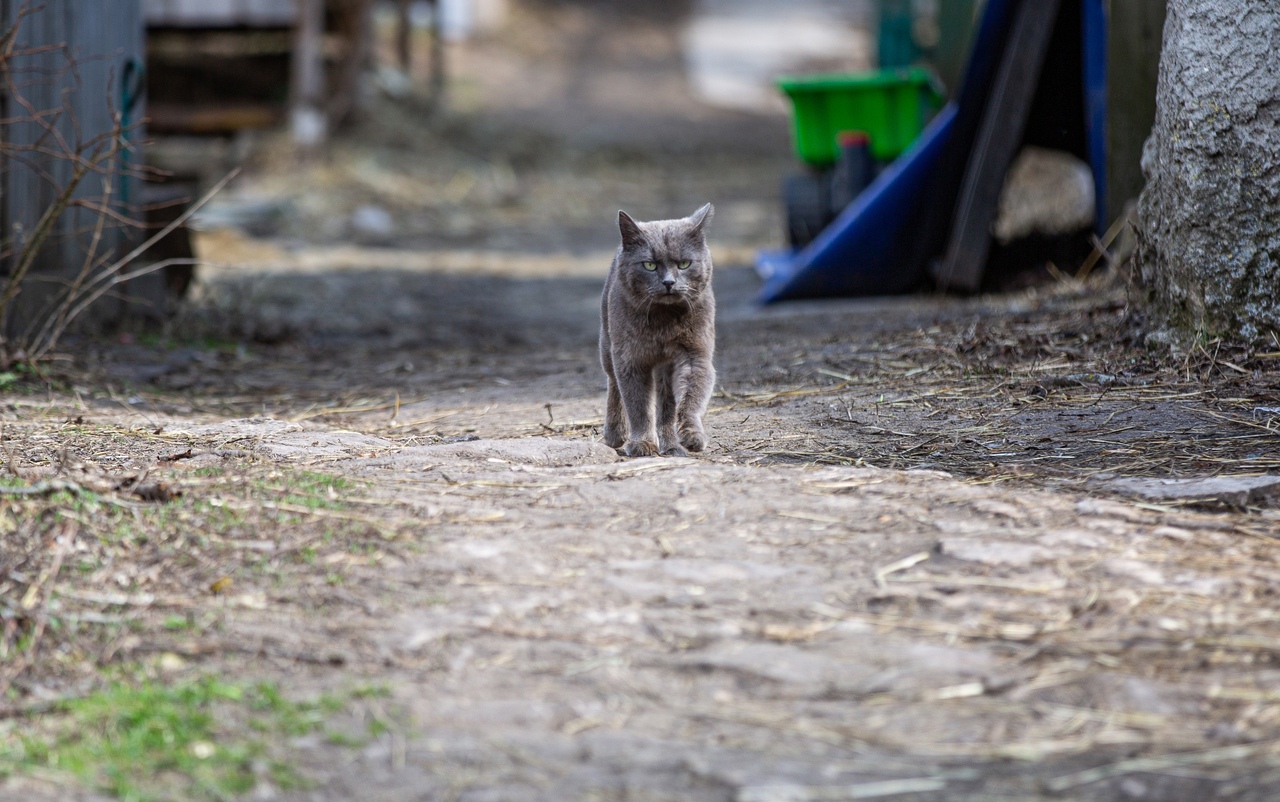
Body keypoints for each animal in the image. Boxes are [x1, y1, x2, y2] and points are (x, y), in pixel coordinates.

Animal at [596, 203, 716, 457]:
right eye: (649, 265)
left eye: (684, 264)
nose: (669, 282)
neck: (663, 322)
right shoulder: (630, 359)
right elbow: (638, 405)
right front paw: (642, 444)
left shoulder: (695, 354)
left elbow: (692, 396)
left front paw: (692, 435)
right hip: (607, 343)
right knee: (613, 385)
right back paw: (615, 433)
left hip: (664, 368)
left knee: (666, 406)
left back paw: (671, 446)